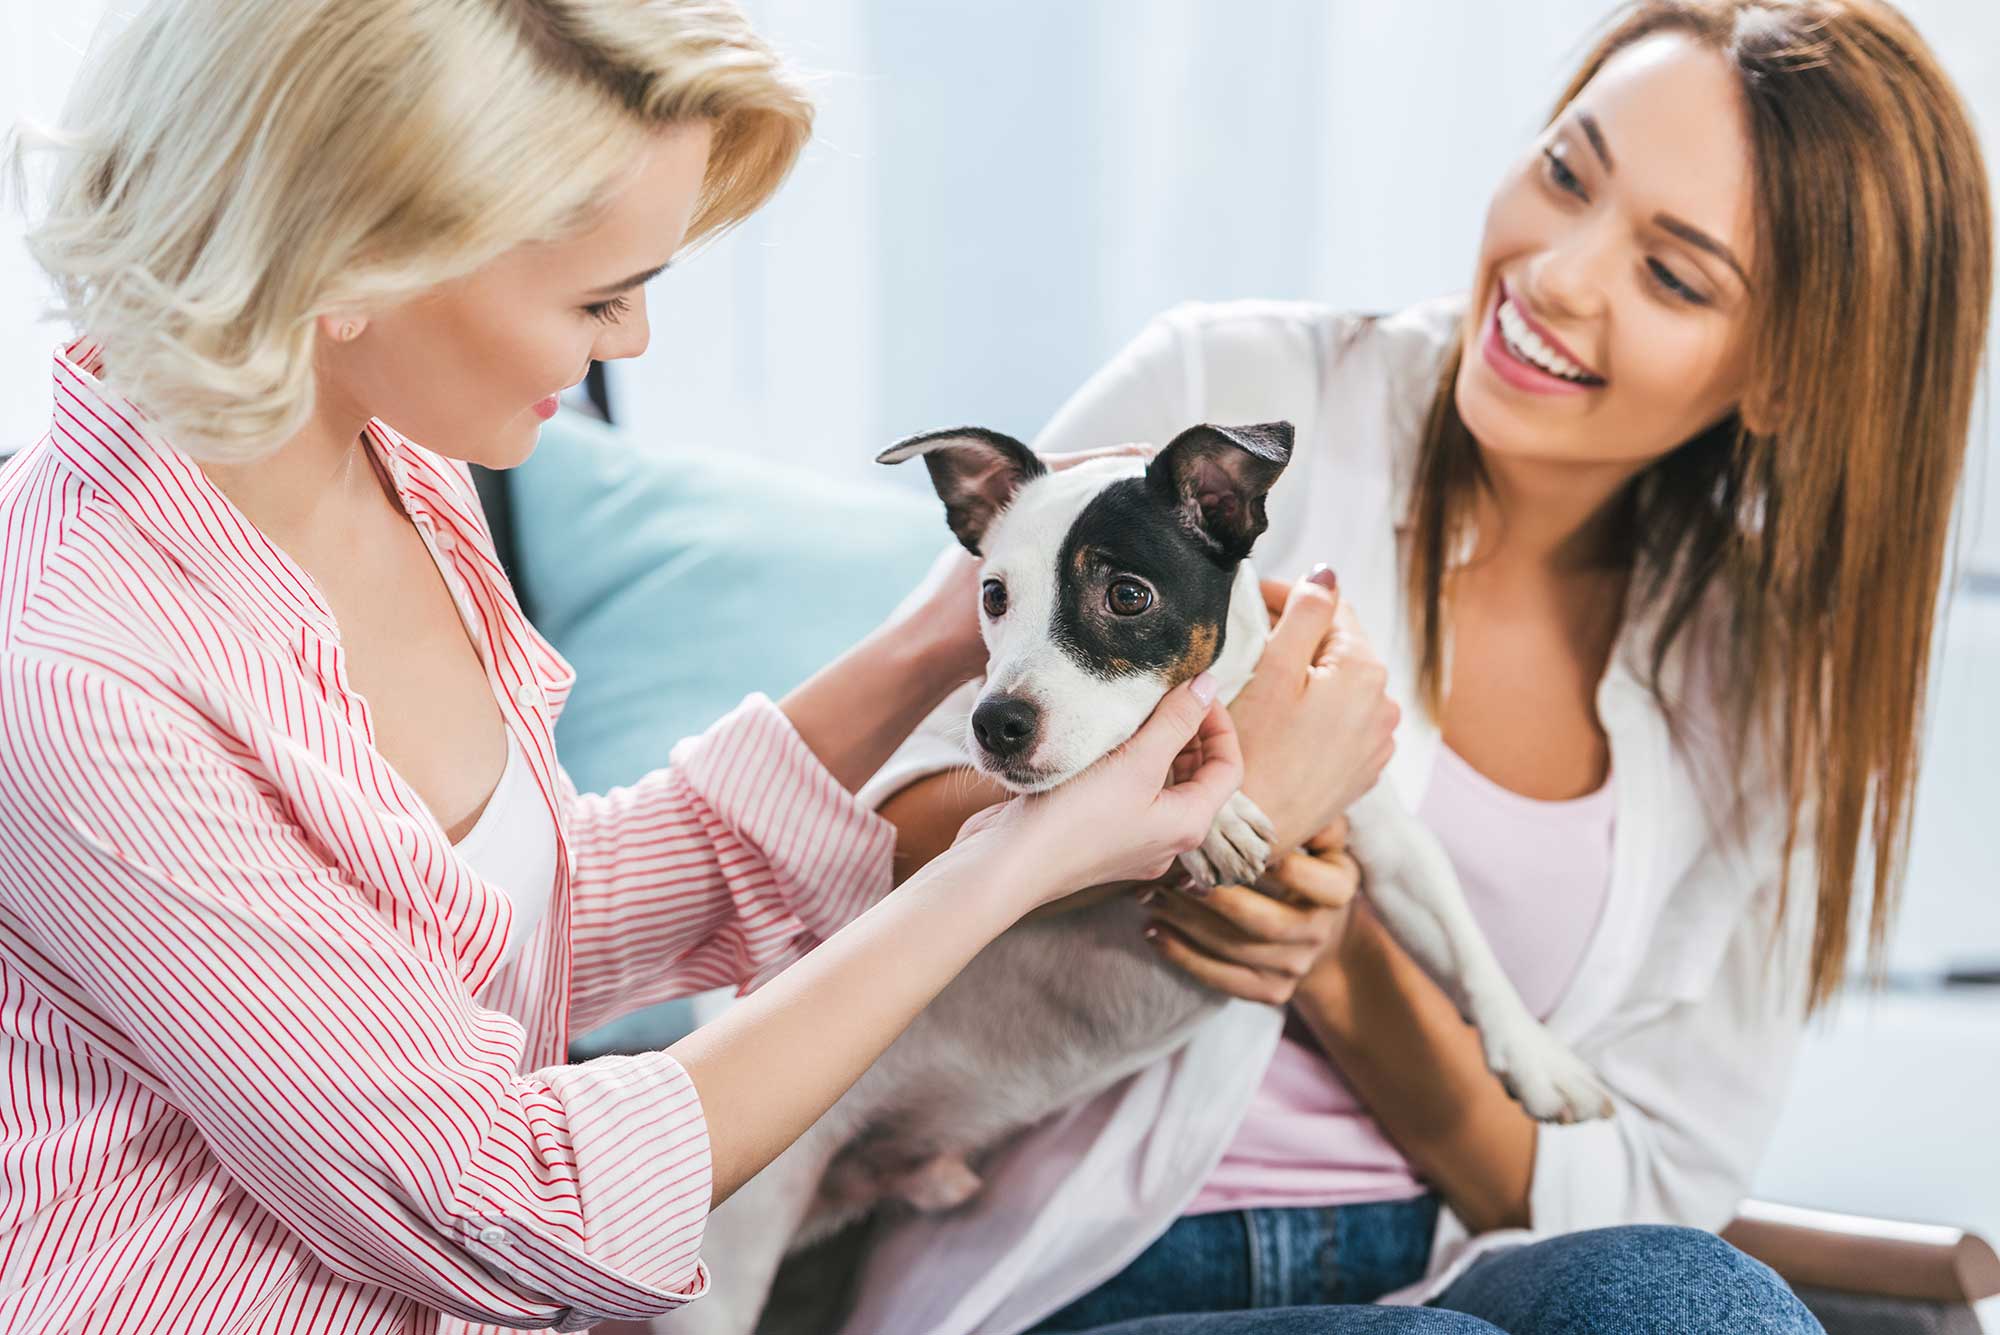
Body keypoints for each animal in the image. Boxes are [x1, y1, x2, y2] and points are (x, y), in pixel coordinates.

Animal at [672, 419, 1608, 1335]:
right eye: (993, 595)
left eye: (1127, 596)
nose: (994, 722)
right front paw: (1214, 811)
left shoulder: (1387, 839)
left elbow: (1465, 945)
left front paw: (1541, 1063)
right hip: (733, 1264)